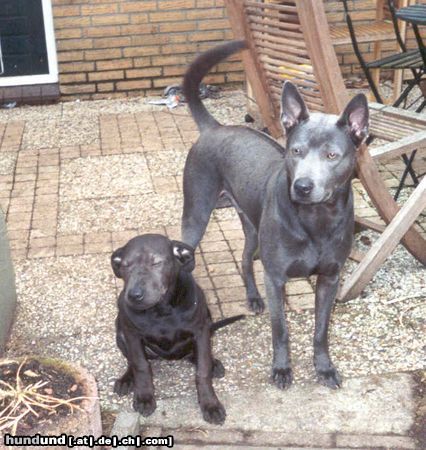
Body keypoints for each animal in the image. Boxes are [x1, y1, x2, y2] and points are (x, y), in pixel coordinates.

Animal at [110, 234, 243, 424]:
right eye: (125, 266)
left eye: (156, 263)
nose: (134, 295)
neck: (161, 310)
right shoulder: (131, 334)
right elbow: (140, 365)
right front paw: (144, 397)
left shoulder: (201, 331)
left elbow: (202, 371)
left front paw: (210, 404)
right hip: (119, 332)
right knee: (131, 360)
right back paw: (126, 380)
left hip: (207, 322)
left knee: (198, 356)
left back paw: (213, 363)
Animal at [179, 40, 366, 388]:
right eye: (296, 151)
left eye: (332, 155)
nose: (303, 186)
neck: (315, 220)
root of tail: (215, 128)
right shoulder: (276, 277)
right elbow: (280, 331)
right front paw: (281, 369)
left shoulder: (330, 278)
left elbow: (321, 331)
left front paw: (324, 368)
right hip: (196, 215)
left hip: (251, 226)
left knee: (244, 258)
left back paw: (252, 297)